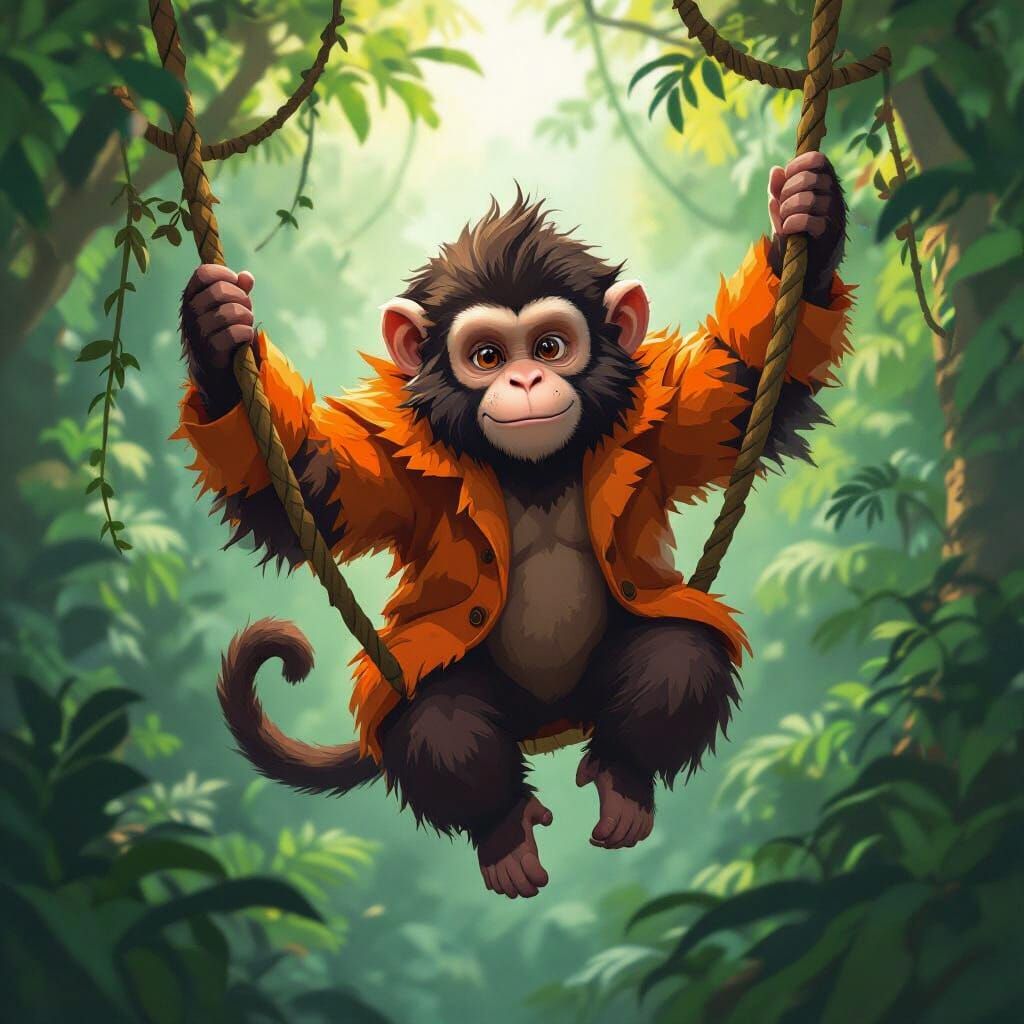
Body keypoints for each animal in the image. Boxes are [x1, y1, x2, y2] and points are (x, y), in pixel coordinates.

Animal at [176, 151, 852, 899]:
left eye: (551, 346)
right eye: (488, 358)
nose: (525, 381)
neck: (532, 471)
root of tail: (553, 724)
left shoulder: (657, 417)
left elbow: (741, 386)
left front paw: (809, 216)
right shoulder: (400, 458)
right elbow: (309, 484)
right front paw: (216, 336)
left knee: (677, 651)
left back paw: (623, 782)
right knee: (442, 719)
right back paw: (503, 832)